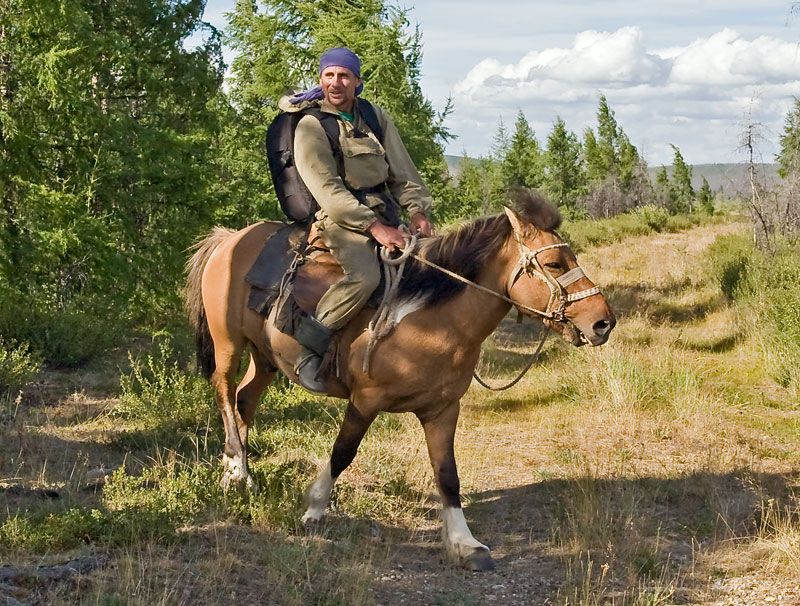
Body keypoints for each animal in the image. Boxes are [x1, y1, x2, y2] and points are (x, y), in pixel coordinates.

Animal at [184, 191, 616, 576]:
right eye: (555, 263)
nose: (602, 323)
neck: (430, 318)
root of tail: (229, 239)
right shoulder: (365, 401)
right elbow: (342, 453)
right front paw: (313, 509)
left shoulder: (443, 410)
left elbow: (448, 475)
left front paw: (465, 544)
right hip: (228, 344)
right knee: (224, 393)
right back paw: (239, 468)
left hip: (265, 357)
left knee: (244, 400)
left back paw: (235, 473)